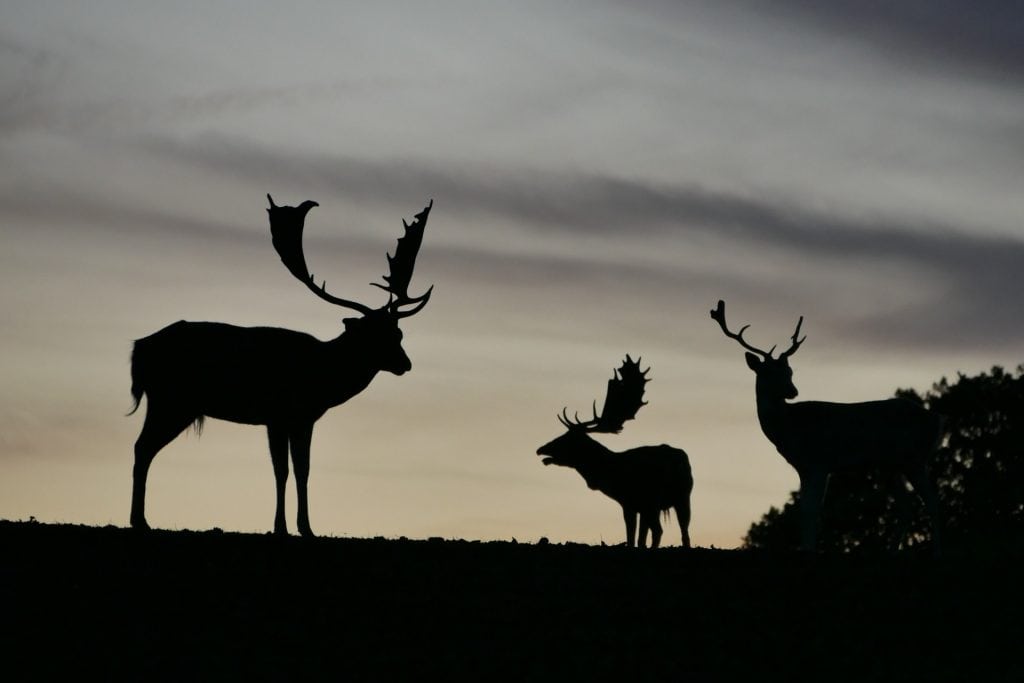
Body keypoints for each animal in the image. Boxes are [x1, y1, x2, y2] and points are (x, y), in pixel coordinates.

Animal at [128, 195, 434, 537]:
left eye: (398, 333)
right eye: (373, 335)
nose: (405, 364)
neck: (322, 374)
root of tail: (139, 349)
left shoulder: (295, 419)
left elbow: (298, 469)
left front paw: (299, 527)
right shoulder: (282, 414)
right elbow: (286, 470)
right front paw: (288, 527)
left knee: (143, 448)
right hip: (171, 401)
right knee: (142, 448)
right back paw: (139, 520)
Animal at [537, 356, 693, 549]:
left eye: (568, 439)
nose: (540, 449)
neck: (609, 474)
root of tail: (679, 464)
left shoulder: (630, 502)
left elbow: (632, 537)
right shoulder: (641, 506)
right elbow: (640, 538)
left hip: (656, 499)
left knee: (660, 530)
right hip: (682, 497)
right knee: (684, 533)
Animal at [709, 299, 944, 554]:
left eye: (789, 371)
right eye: (768, 372)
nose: (793, 391)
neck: (790, 429)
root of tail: (937, 420)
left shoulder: (820, 462)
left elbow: (812, 511)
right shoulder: (803, 468)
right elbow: (803, 512)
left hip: (913, 458)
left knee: (933, 502)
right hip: (891, 466)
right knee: (907, 506)